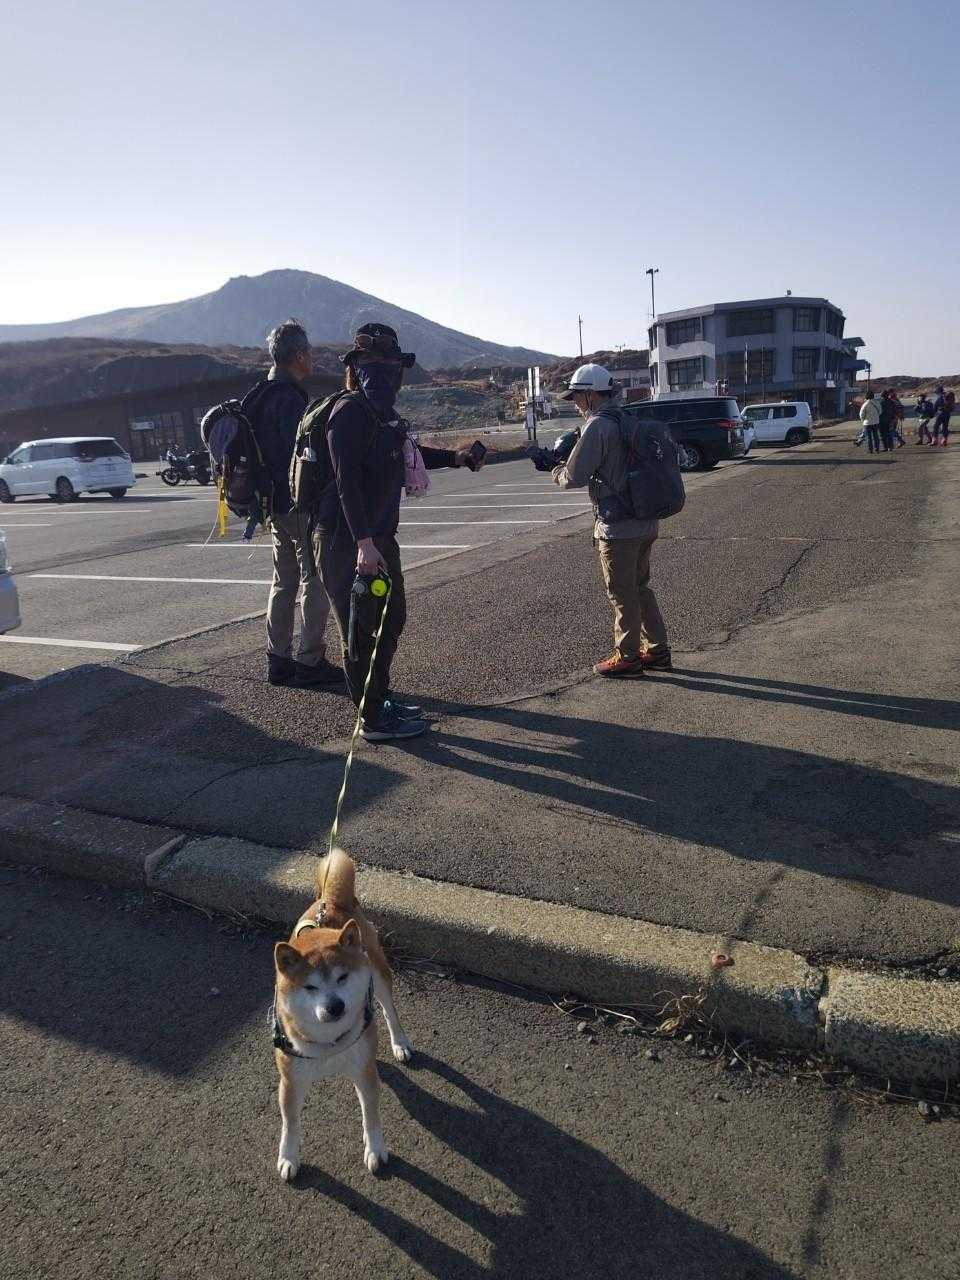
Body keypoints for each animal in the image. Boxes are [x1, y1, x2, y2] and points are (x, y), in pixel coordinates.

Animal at [272, 847, 412, 1182]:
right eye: (310, 986)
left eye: (342, 978)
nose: (335, 1006)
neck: (328, 1044)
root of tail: (332, 903)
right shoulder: (291, 1082)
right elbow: (290, 1124)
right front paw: (288, 1157)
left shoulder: (364, 1074)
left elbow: (370, 1116)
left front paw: (375, 1149)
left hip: (380, 975)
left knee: (390, 1013)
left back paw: (399, 1043)